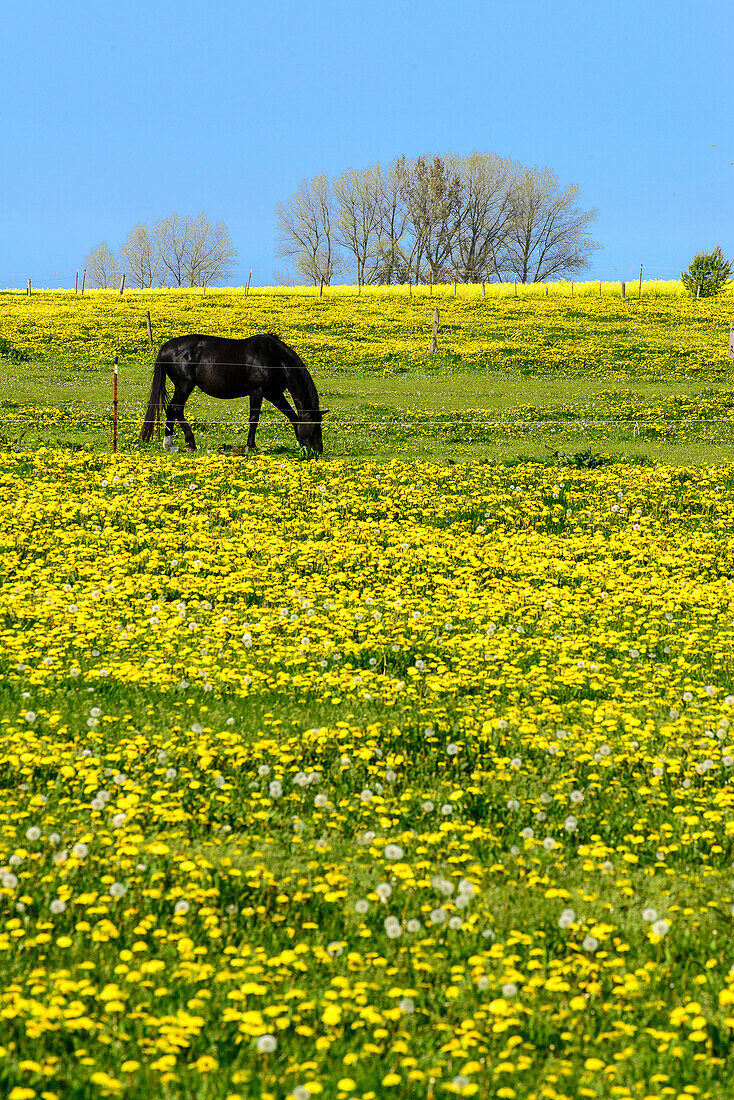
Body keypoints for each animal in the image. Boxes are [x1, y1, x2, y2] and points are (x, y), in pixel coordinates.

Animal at [141, 334, 325, 455]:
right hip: (184, 385)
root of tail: (165, 348)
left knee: (173, 409)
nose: (318, 451)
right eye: (315, 427)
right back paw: (181, 443)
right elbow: (254, 418)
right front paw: (250, 446)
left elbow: (292, 416)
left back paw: (174, 444)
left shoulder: (273, 393)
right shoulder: (257, 391)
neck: (274, 358)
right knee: (175, 408)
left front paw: (299, 443)